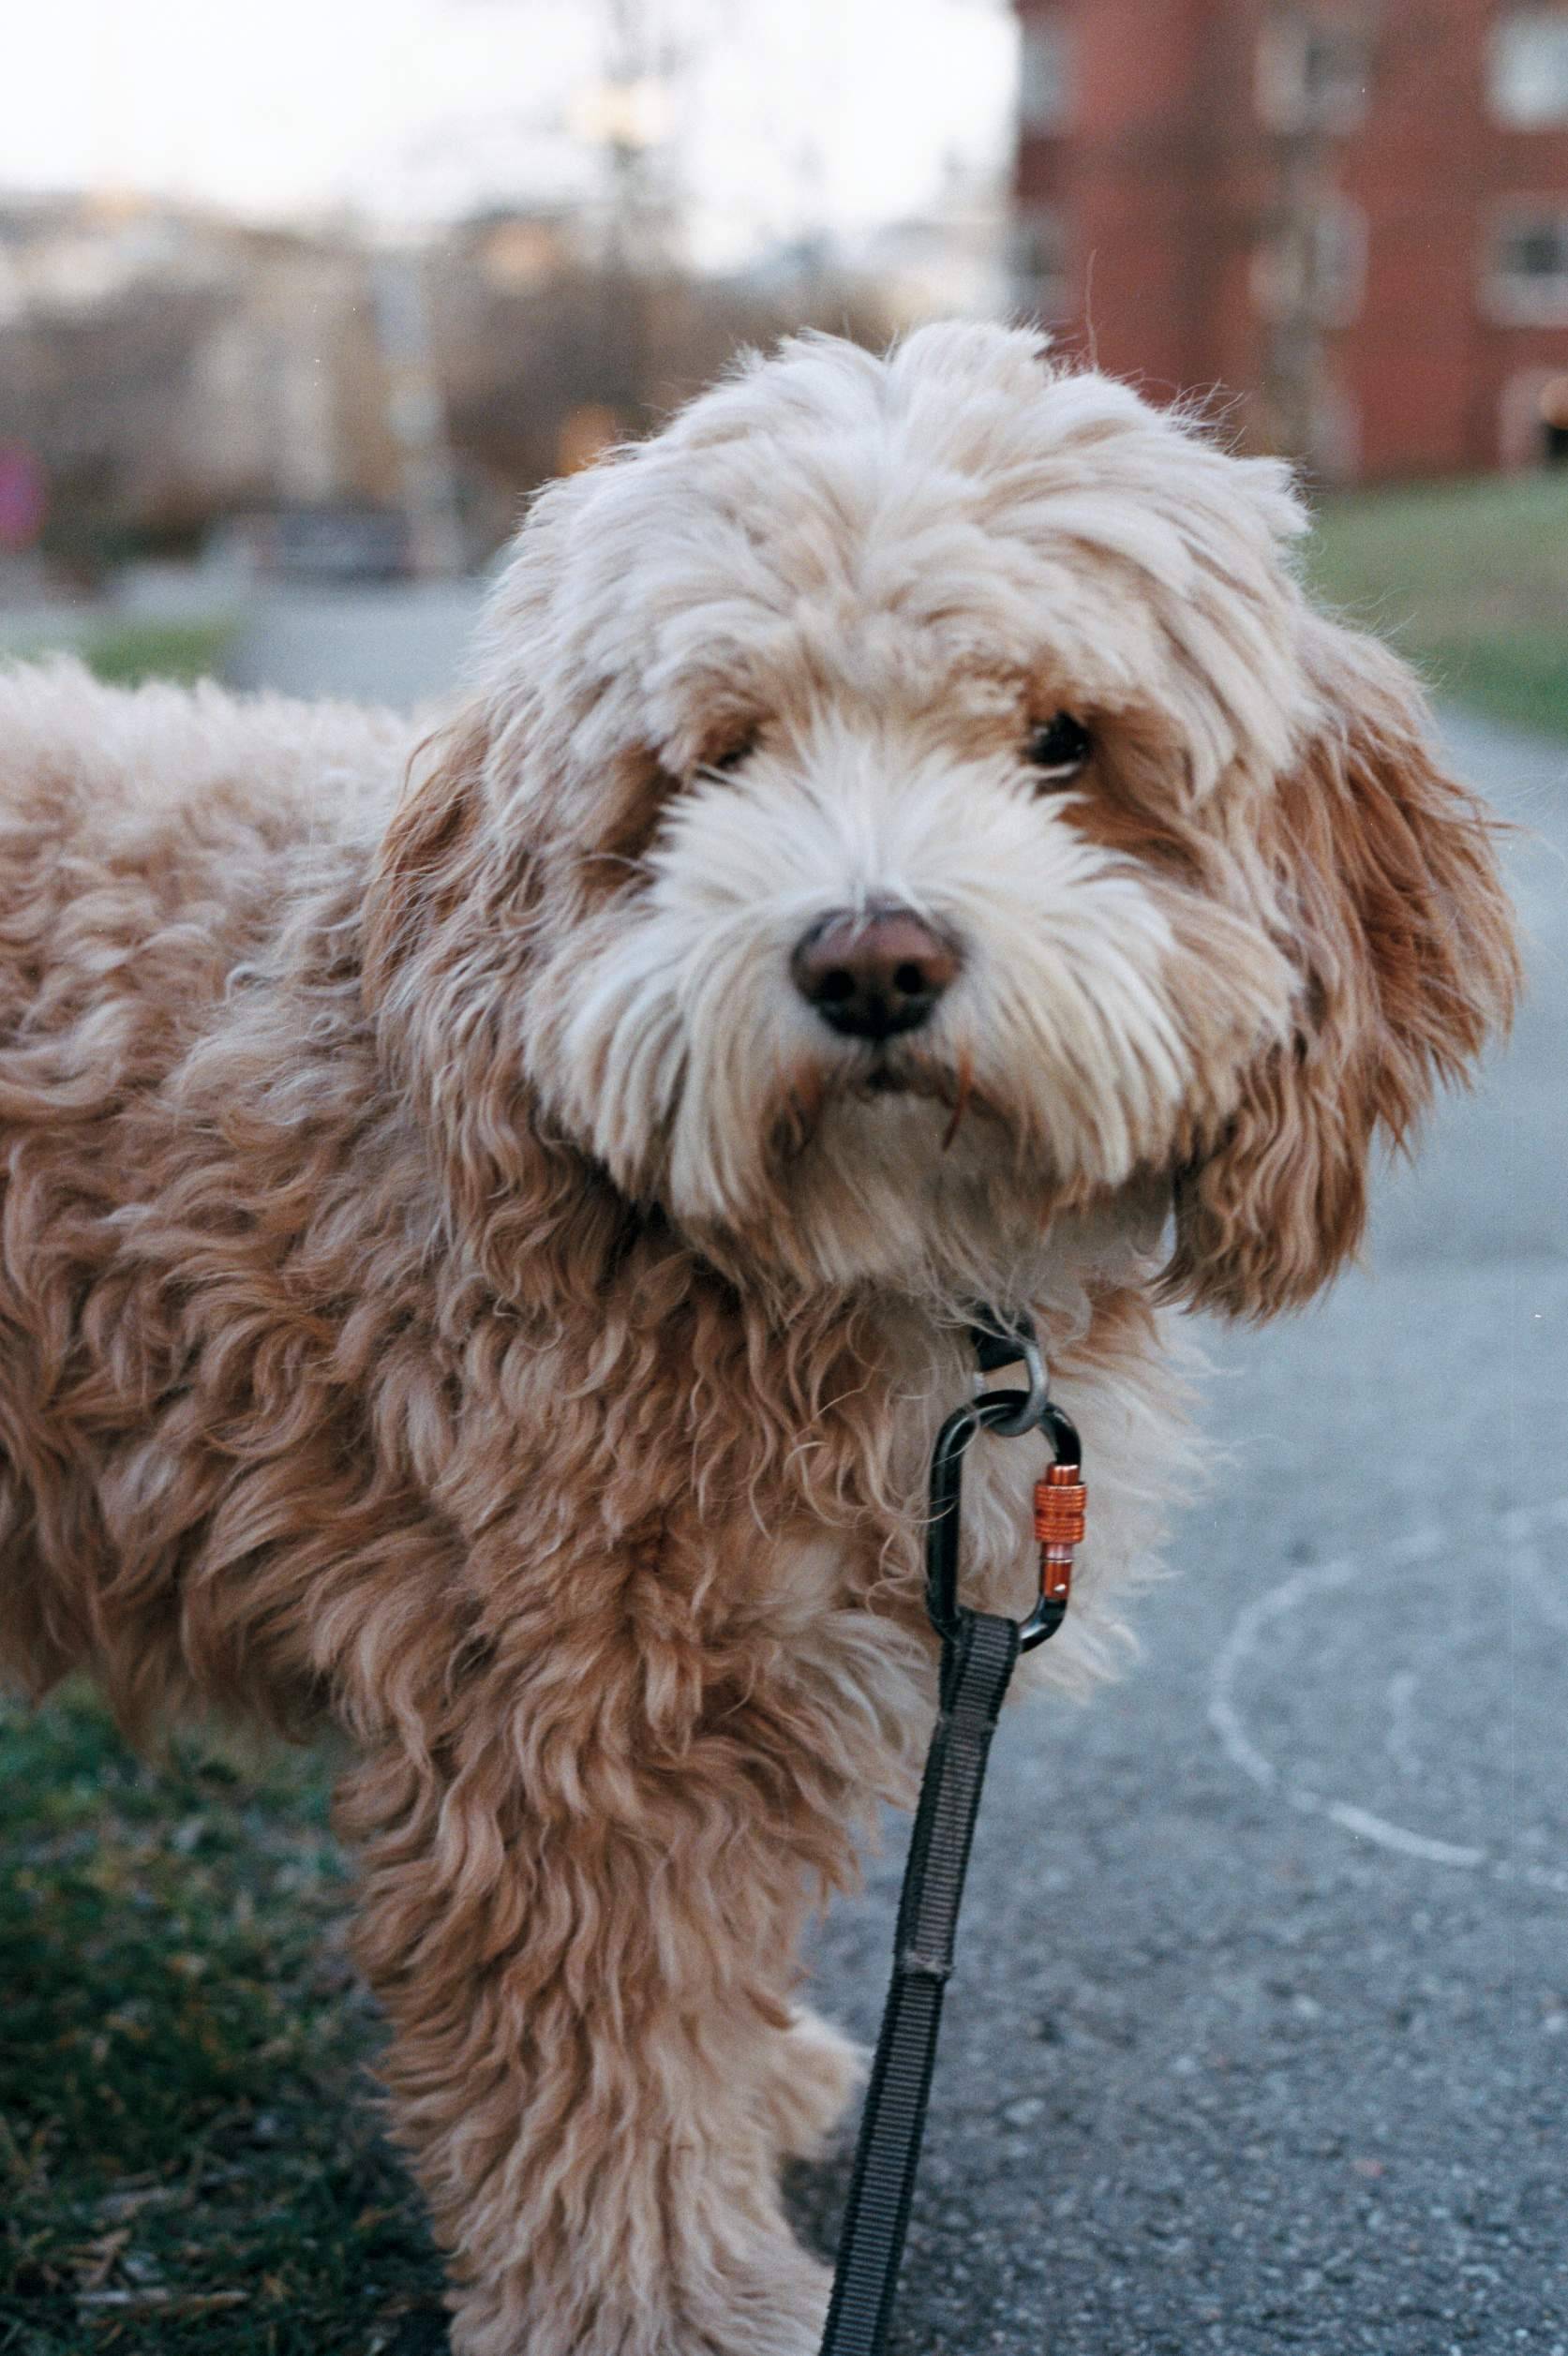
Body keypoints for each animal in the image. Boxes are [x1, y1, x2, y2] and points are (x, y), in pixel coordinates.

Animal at [0, 322, 1518, 2346]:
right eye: (717, 755)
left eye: (1060, 742)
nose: (868, 959)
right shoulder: (563, 1717)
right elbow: (604, 2051)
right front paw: (669, 2304)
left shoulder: (768, 1665)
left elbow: (699, 1983)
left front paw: (756, 2099)